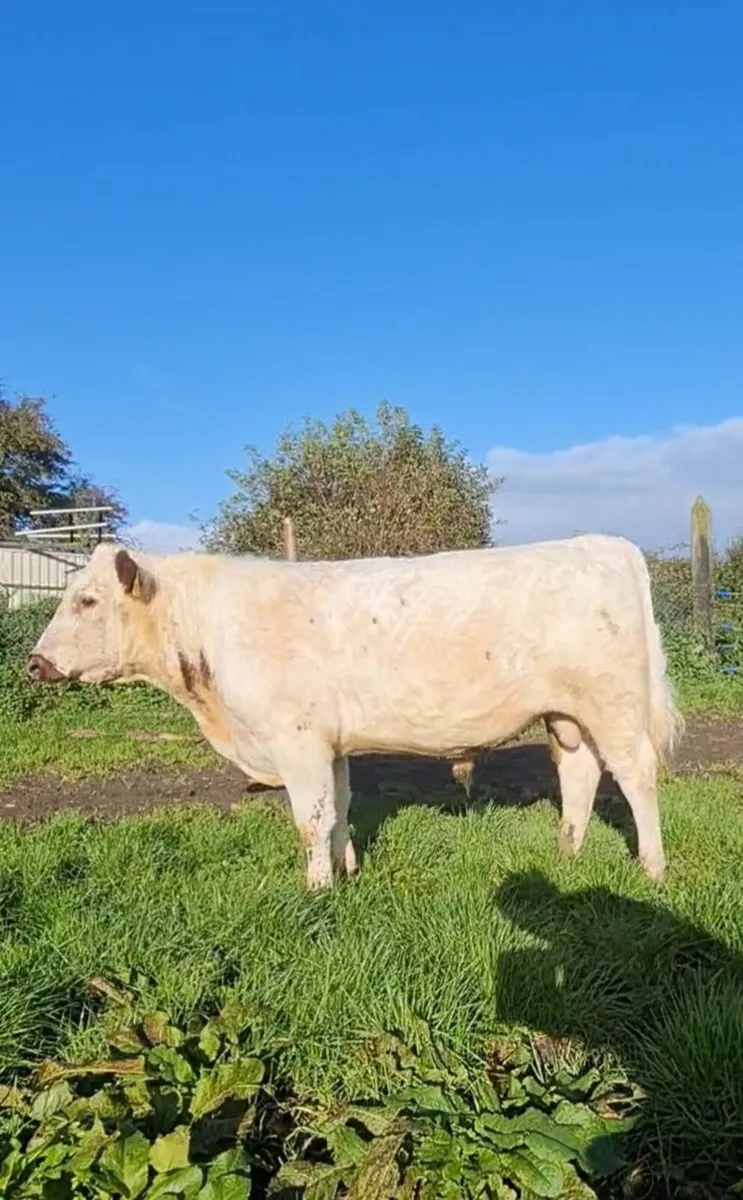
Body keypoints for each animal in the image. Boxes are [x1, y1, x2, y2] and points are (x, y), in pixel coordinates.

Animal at [28, 535, 682, 890]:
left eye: (87, 600)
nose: (35, 662)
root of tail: (601, 543)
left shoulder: (296, 739)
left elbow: (310, 820)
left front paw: (317, 890)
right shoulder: (329, 744)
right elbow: (339, 808)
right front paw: (348, 873)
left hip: (614, 705)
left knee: (636, 775)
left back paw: (652, 867)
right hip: (567, 715)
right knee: (580, 773)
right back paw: (567, 853)